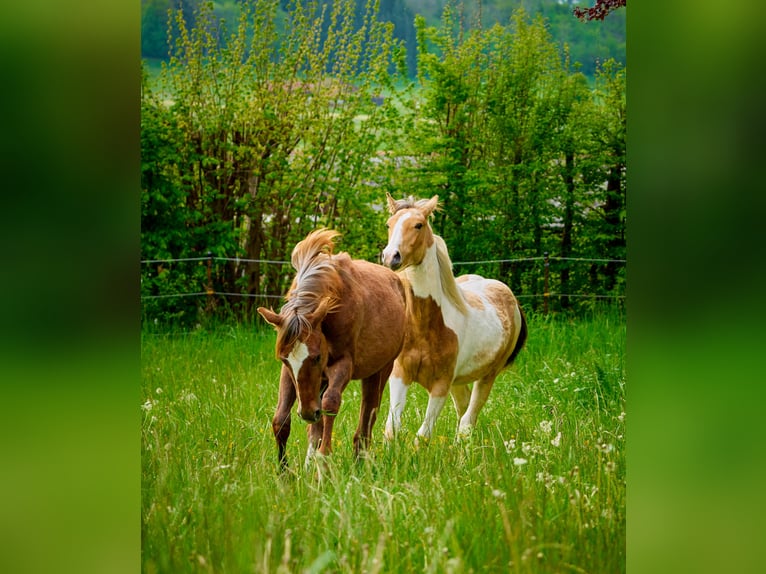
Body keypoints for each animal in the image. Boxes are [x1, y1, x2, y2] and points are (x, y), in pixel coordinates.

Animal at [258, 228, 407, 471]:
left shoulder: (342, 364)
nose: (307, 413)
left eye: (317, 357)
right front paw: (285, 473)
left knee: (368, 415)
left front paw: (324, 461)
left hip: (379, 371)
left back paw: (358, 460)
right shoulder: (291, 374)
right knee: (316, 425)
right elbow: (281, 419)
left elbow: (330, 404)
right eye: (284, 360)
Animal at [380, 193, 528, 442]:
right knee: (463, 410)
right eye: (389, 224)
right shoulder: (400, 376)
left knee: (468, 420)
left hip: (487, 376)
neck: (426, 326)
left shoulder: (441, 385)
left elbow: (422, 437)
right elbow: (392, 428)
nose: (391, 257)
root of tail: (511, 299)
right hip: (459, 382)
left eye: (418, 225)